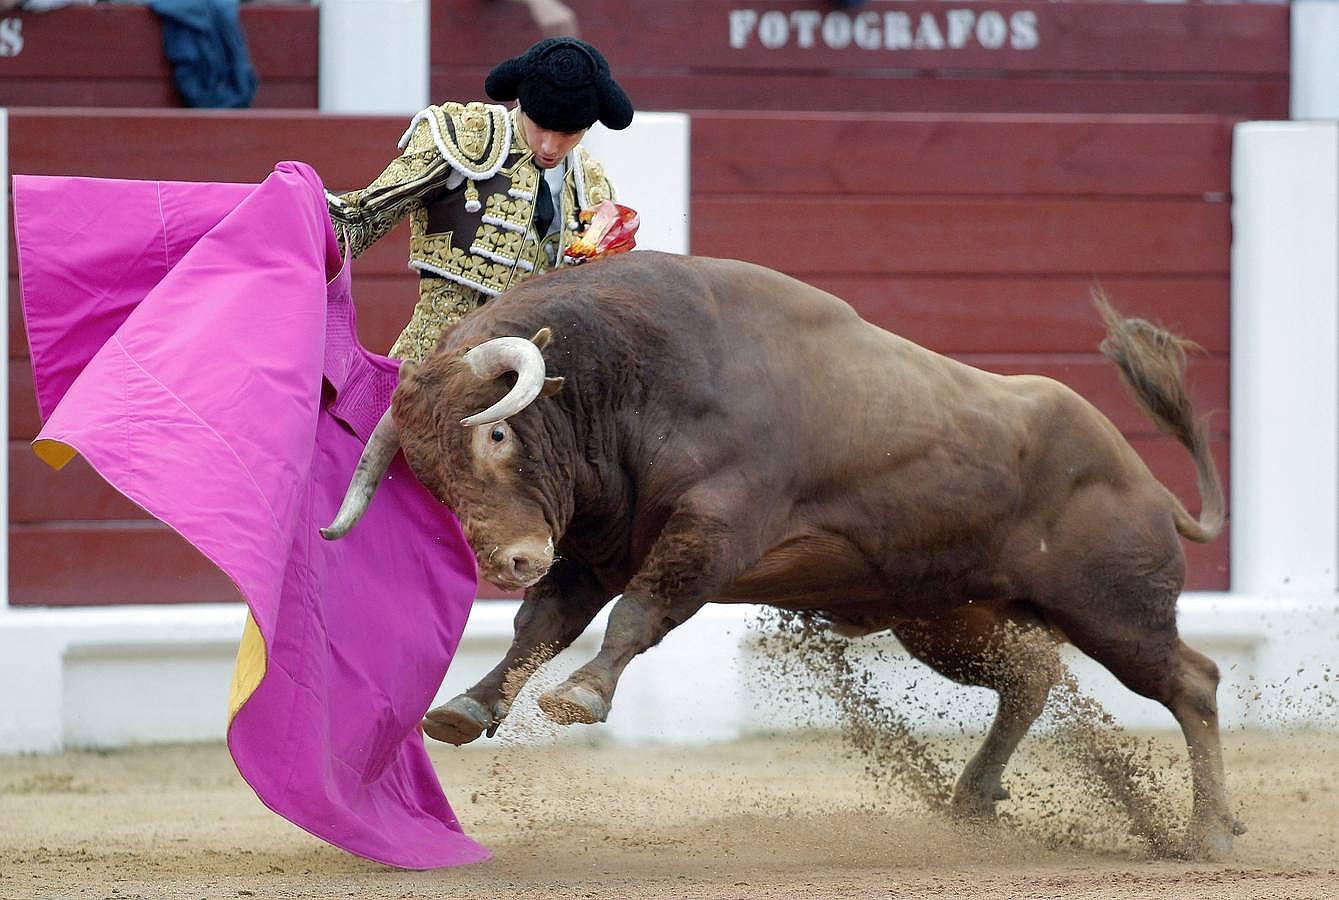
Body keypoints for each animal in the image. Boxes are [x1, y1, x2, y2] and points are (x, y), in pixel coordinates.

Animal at [321, 251, 1231, 857]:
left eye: (498, 434)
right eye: (430, 478)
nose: (505, 562)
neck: (630, 379)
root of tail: (1145, 482)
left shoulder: (712, 532)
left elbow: (636, 615)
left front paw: (579, 695)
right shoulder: (593, 554)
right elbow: (539, 629)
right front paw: (465, 707)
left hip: (1114, 609)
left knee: (1190, 681)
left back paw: (1208, 835)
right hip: (948, 617)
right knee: (1030, 677)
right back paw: (974, 802)